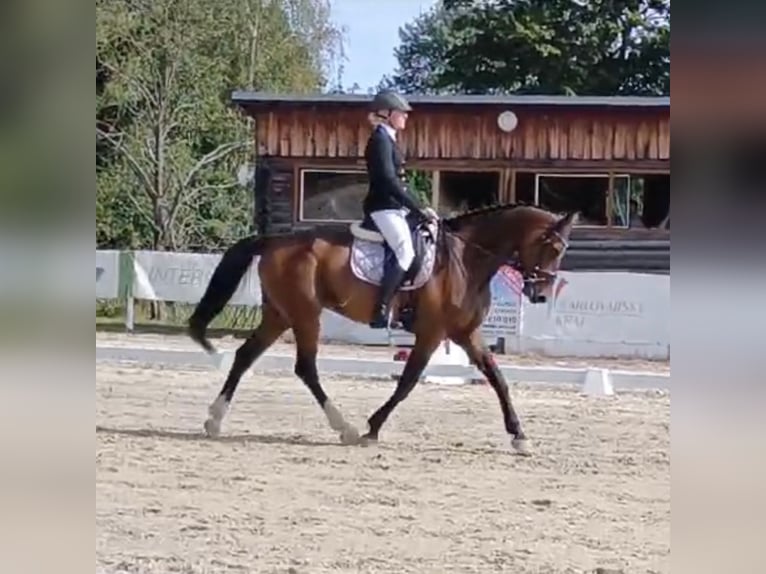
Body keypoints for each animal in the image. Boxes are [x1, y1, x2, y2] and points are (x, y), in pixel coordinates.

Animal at [189, 205, 580, 456]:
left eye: (563, 250)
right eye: (552, 247)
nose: (540, 295)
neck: (466, 260)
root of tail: (273, 241)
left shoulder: (466, 333)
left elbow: (497, 379)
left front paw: (519, 437)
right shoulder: (433, 332)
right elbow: (407, 381)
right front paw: (372, 428)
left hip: (280, 314)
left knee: (246, 355)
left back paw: (214, 420)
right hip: (304, 314)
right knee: (305, 367)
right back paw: (344, 428)